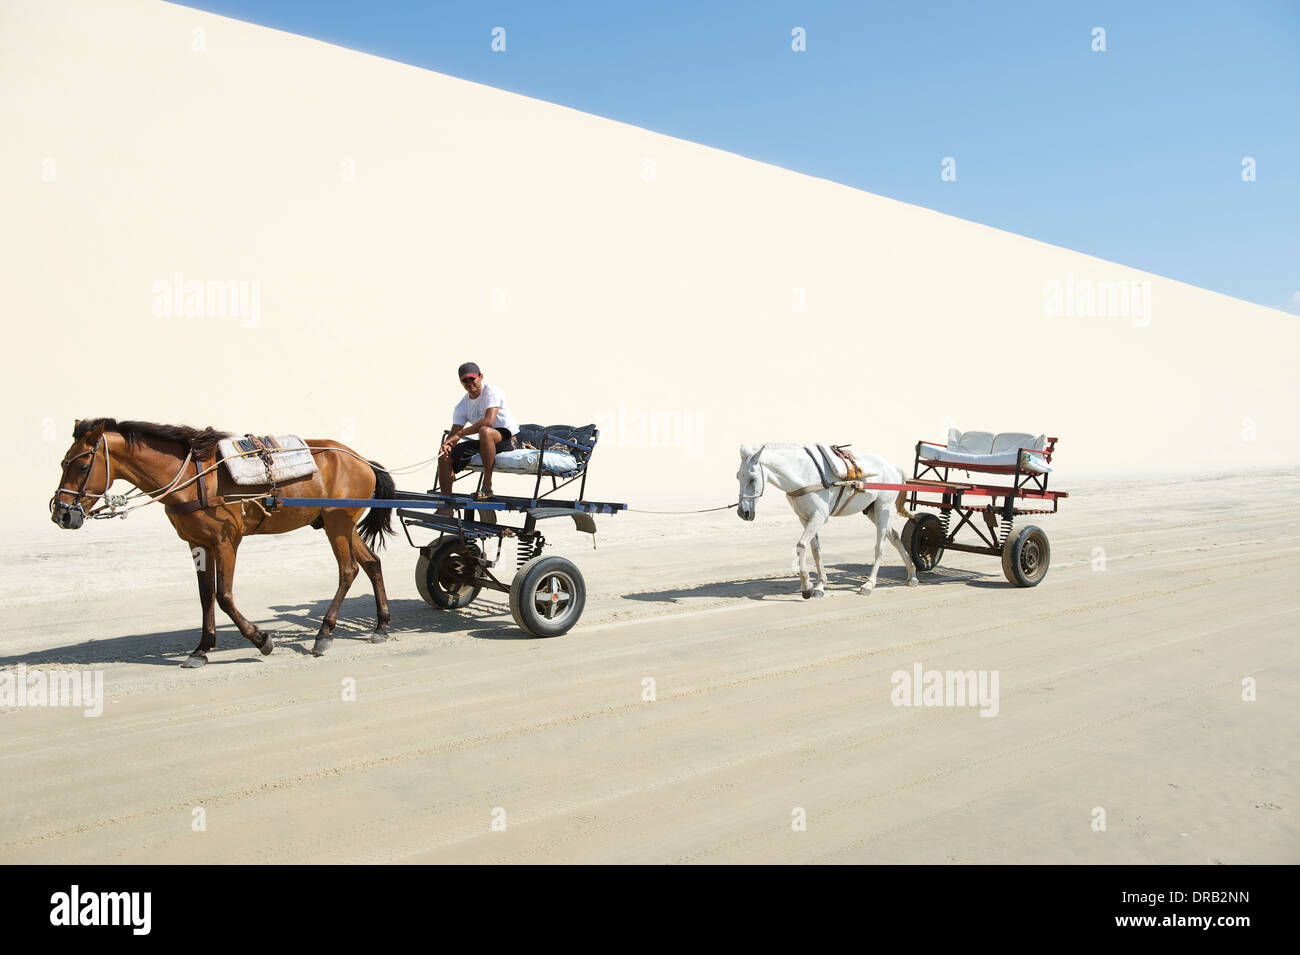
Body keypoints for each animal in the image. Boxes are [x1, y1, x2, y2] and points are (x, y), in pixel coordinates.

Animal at [50, 415, 392, 670]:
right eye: (63, 462)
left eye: (82, 466)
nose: (61, 515)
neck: (193, 477)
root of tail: (361, 459)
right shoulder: (198, 543)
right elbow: (206, 597)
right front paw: (201, 649)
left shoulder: (227, 541)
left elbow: (224, 596)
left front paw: (261, 639)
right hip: (341, 525)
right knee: (371, 563)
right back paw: (381, 626)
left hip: (337, 524)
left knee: (348, 570)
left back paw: (324, 633)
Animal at [738, 441, 920, 597]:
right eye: (738, 476)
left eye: (753, 478)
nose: (742, 512)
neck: (803, 474)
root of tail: (892, 466)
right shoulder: (805, 518)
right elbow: (816, 550)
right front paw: (819, 585)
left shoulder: (819, 516)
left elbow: (801, 545)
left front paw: (806, 587)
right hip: (872, 511)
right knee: (895, 537)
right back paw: (912, 575)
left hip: (883, 508)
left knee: (880, 547)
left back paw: (869, 584)